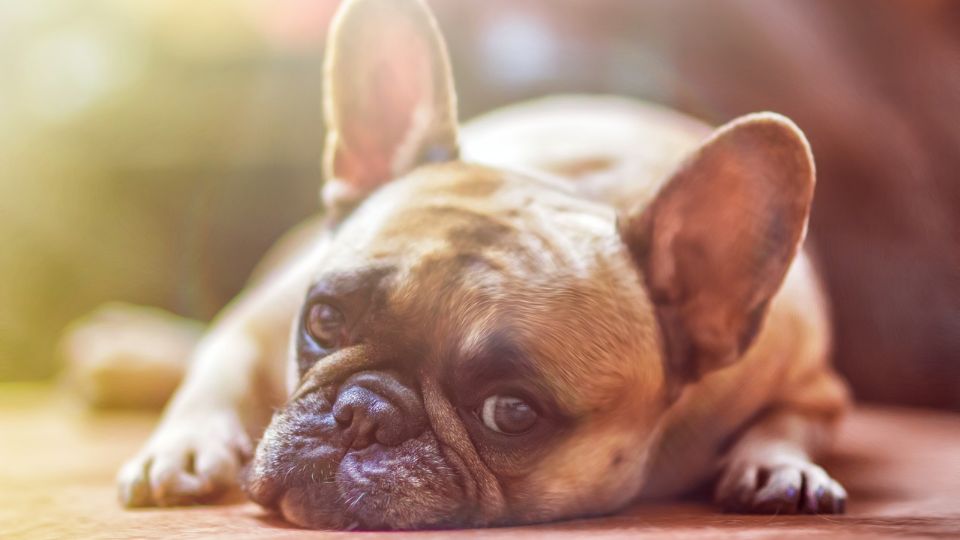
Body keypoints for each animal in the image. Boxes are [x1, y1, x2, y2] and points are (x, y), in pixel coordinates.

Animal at [114, 0, 848, 532]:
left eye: (511, 412)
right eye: (323, 321)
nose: (363, 411)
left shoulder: (817, 384)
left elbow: (792, 420)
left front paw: (779, 464)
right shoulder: (269, 315)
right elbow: (219, 366)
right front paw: (182, 445)